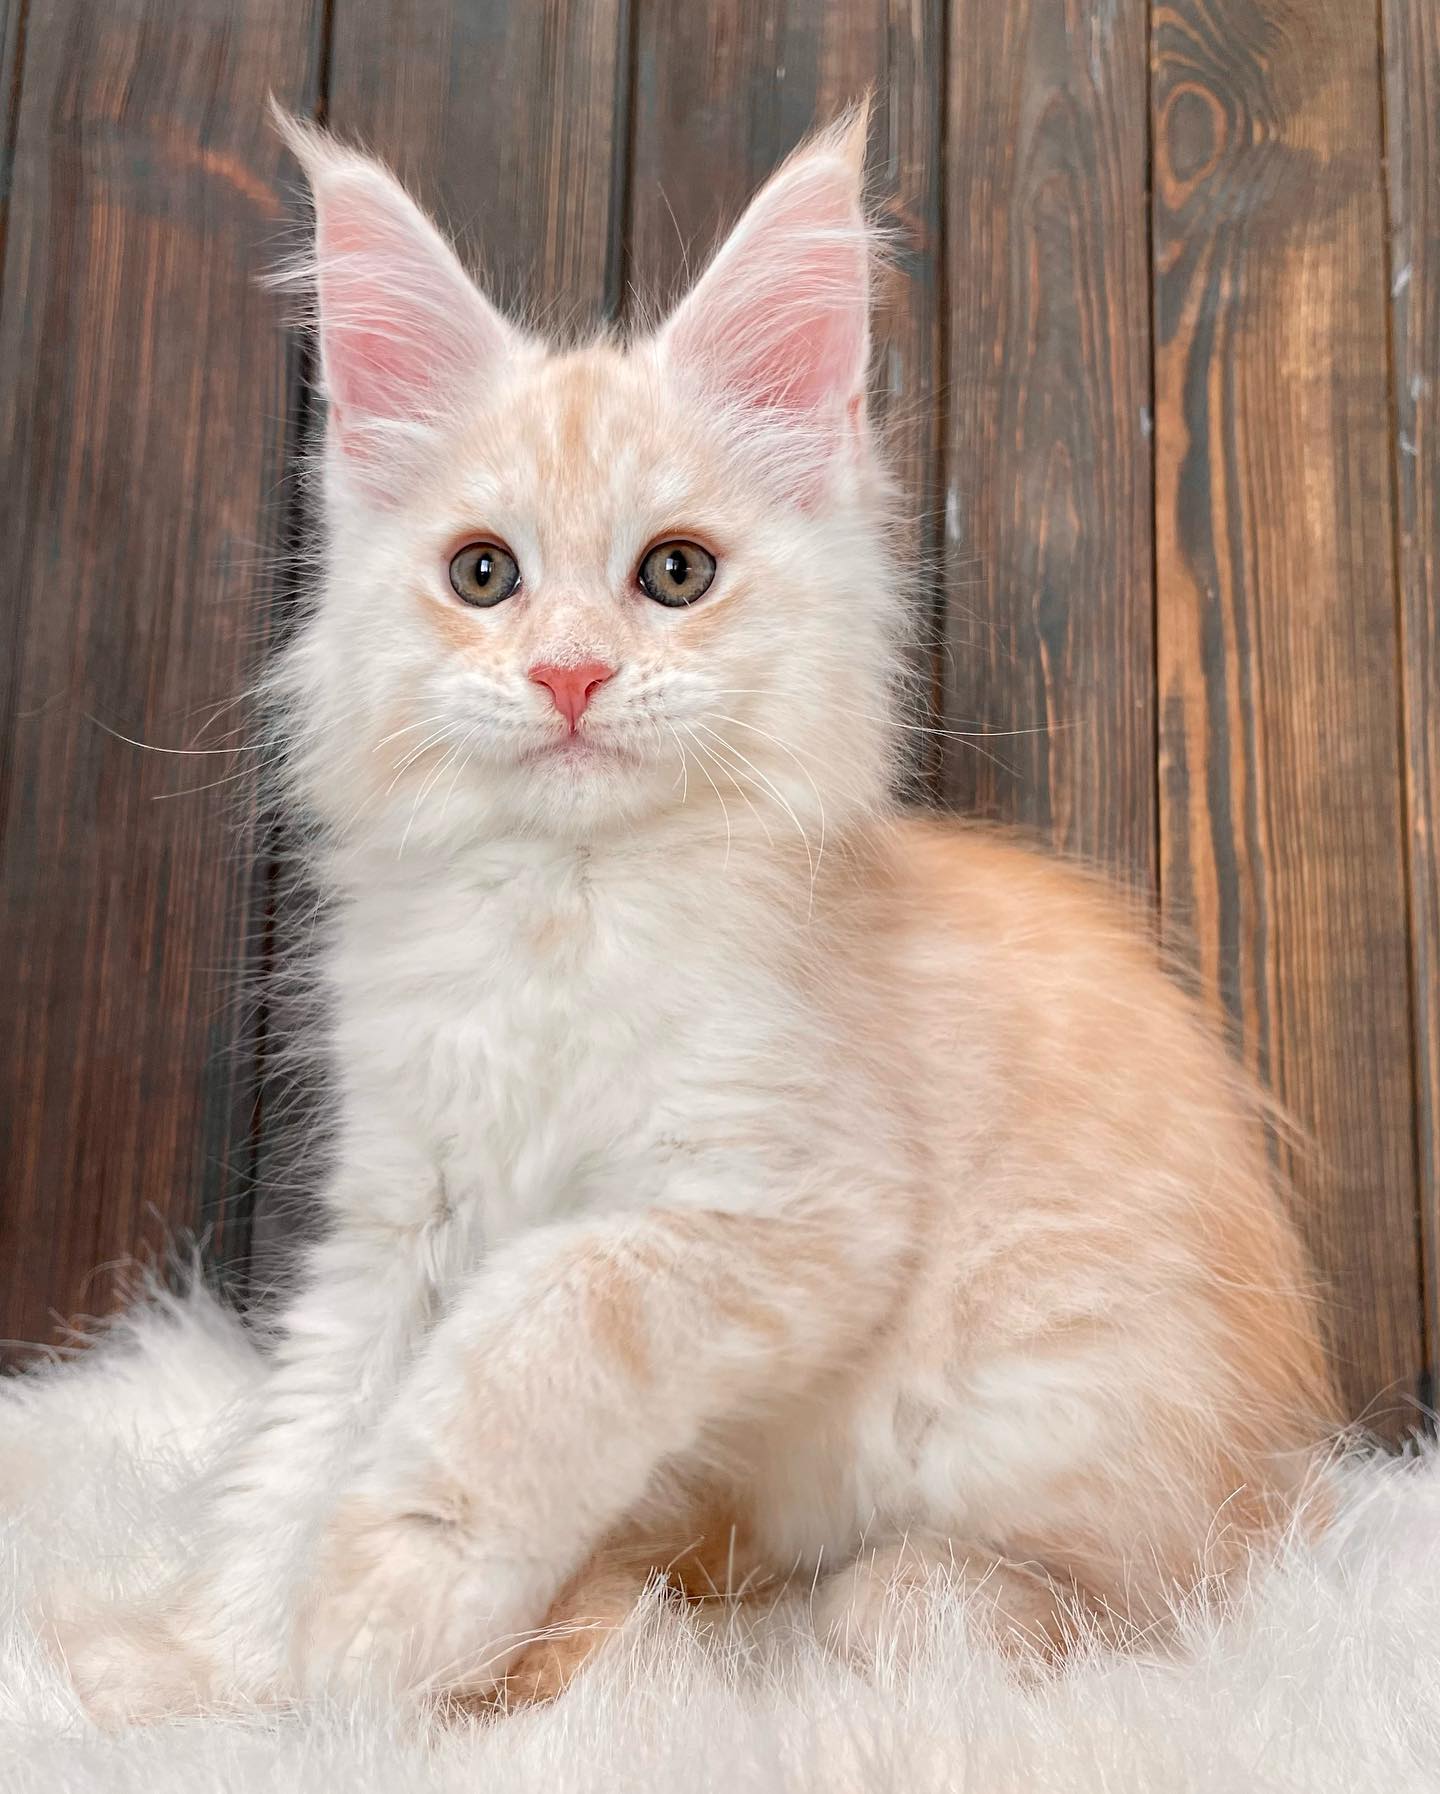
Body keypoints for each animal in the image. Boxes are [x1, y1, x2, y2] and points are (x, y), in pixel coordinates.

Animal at [64, 108, 1341, 1722]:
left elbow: (529, 1338)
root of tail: (1285, 1470)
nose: (569, 675)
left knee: (1072, 1601)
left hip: (1063, 1414)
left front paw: (385, 1604)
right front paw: (219, 1667)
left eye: (675, 573)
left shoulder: (785, 1209)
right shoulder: (403, 1203)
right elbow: (308, 1433)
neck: (564, 907)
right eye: (484, 575)